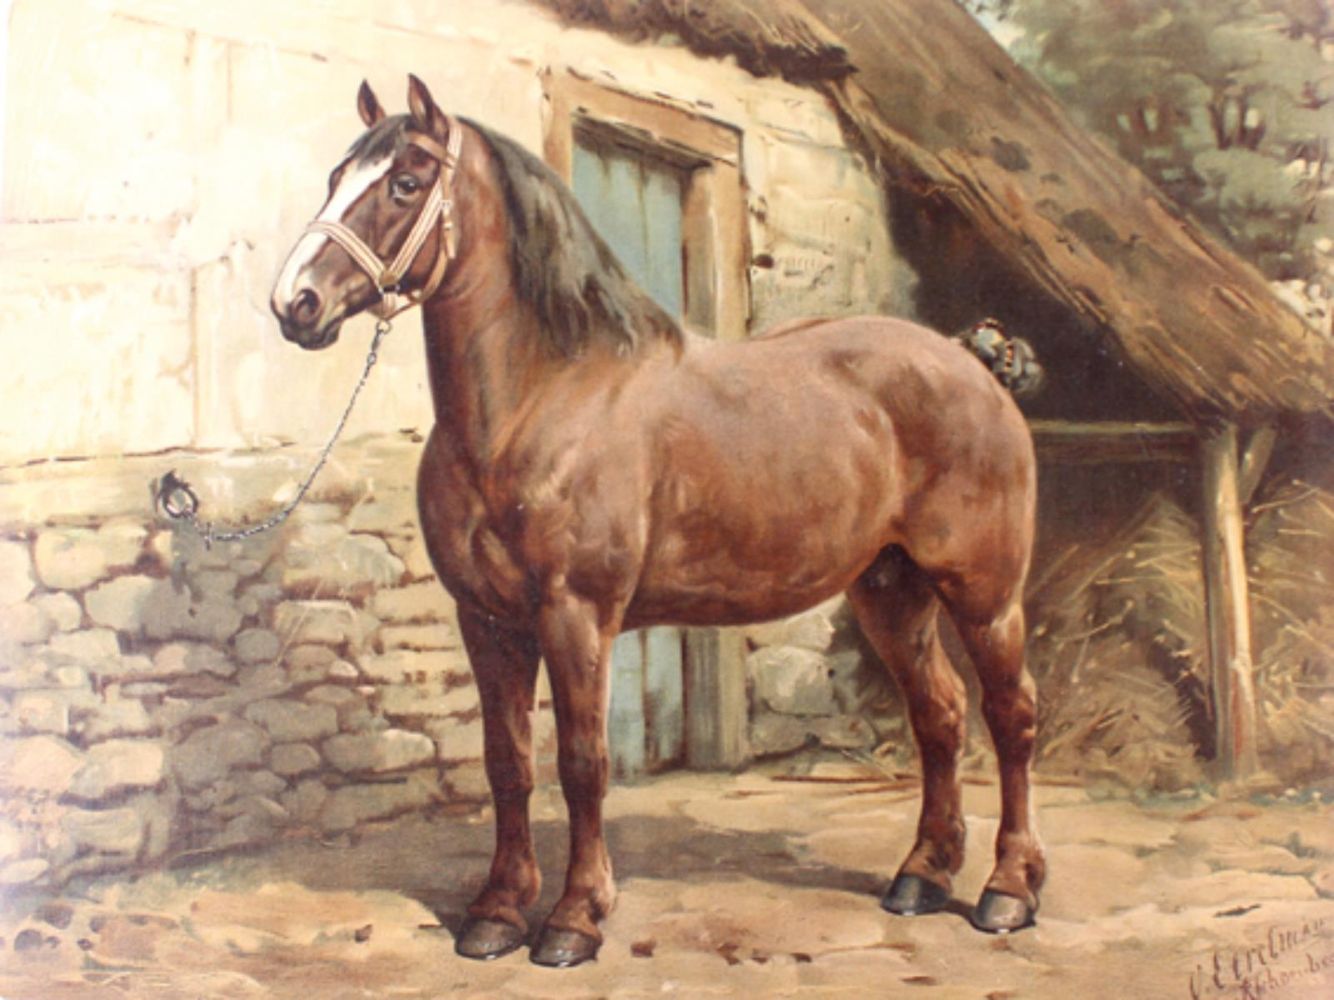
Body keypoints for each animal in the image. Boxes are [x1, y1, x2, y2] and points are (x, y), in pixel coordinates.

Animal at [270, 75, 1044, 968]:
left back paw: (1008, 891)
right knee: (941, 716)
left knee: (1011, 718)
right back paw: (920, 877)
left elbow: (582, 762)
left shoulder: (576, 615)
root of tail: (972, 363)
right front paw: (497, 912)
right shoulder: (488, 621)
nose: (295, 302)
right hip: (891, 590)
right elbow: (507, 762)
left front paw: (574, 918)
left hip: (984, 595)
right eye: (337, 177)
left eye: (403, 182)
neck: (539, 399)